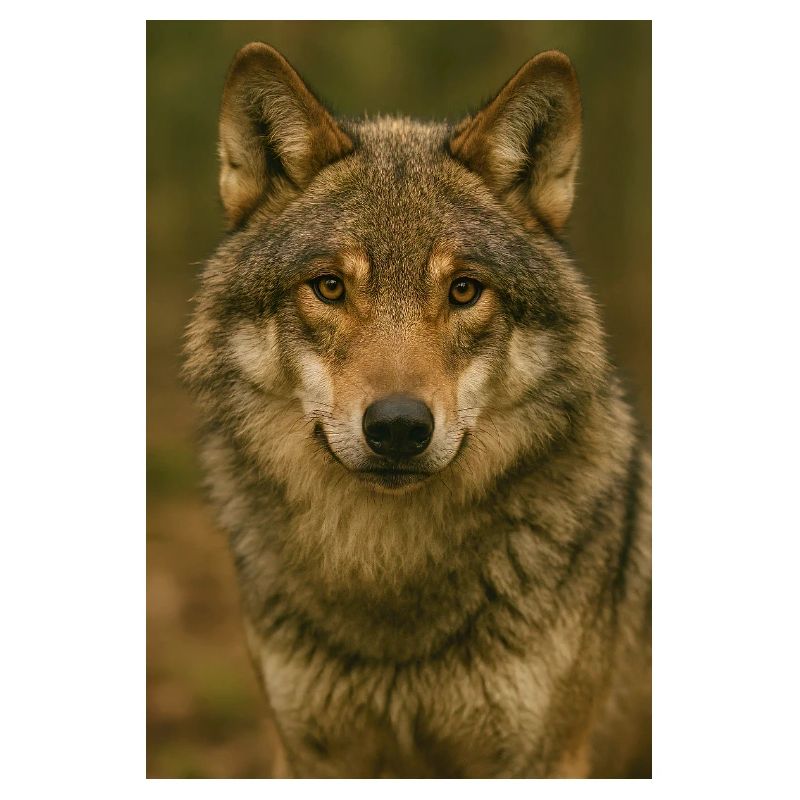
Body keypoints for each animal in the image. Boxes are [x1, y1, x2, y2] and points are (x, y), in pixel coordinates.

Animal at [183, 42, 651, 778]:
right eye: (329, 287)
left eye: (464, 290)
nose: (399, 427)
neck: (390, 581)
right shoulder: (310, 754)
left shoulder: (544, 758)